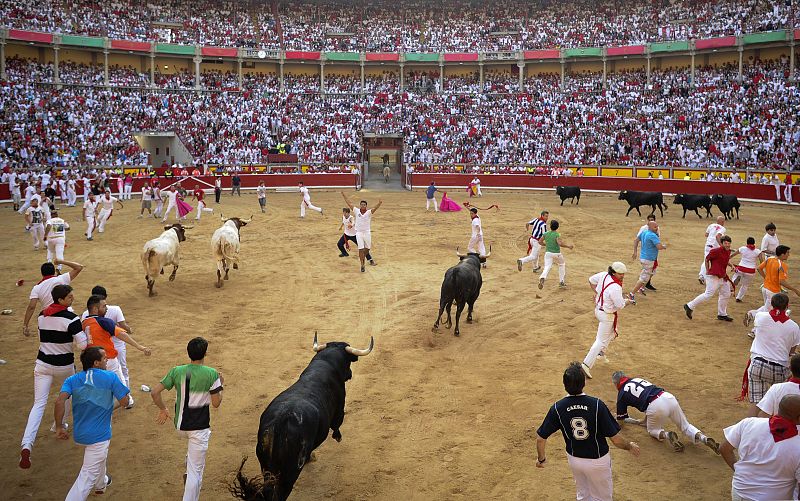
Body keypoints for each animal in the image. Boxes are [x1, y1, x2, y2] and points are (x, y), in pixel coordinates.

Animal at [228, 332, 372, 500]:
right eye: (348, 362)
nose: (350, 374)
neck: (326, 363)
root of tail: (279, 424)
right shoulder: (340, 407)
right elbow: (337, 423)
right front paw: (337, 437)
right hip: (290, 472)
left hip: (266, 467)